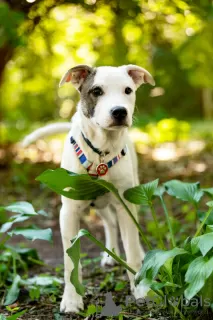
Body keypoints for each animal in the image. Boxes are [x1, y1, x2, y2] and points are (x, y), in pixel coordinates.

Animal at [22, 64, 154, 312]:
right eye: (96, 91)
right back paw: (110, 254)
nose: (120, 112)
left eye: (128, 90)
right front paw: (72, 300)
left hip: (129, 194)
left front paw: (141, 289)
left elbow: (131, 249)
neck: (101, 152)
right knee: (109, 223)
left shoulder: (125, 203)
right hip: (97, 201)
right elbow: (70, 263)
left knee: (125, 227)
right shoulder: (68, 213)